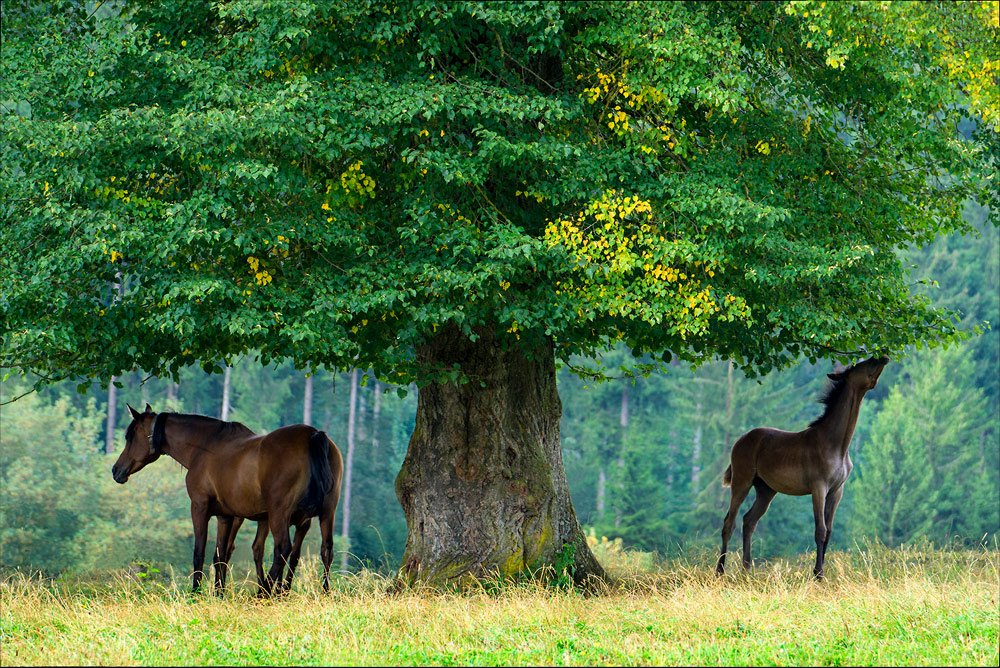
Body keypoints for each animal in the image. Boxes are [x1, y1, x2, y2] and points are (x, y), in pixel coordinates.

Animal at [113, 402, 346, 596]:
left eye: (130, 437)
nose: (116, 470)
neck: (205, 447)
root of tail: (313, 435)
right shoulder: (225, 516)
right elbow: (220, 555)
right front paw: (219, 593)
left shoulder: (199, 507)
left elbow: (200, 552)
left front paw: (196, 593)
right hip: (325, 514)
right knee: (324, 550)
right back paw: (322, 593)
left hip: (280, 515)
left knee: (282, 549)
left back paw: (264, 593)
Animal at [716, 354, 888, 580]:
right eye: (860, 365)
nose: (884, 356)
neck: (836, 444)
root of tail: (740, 440)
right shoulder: (818, 487)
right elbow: (820, 530)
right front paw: (818, 574)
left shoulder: (837, 490)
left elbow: (829, 531)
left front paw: (821, 573)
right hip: (742, 481)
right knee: (730, 522)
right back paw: (720, 571)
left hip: (766, 489)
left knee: (749, 521)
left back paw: (747, 569)